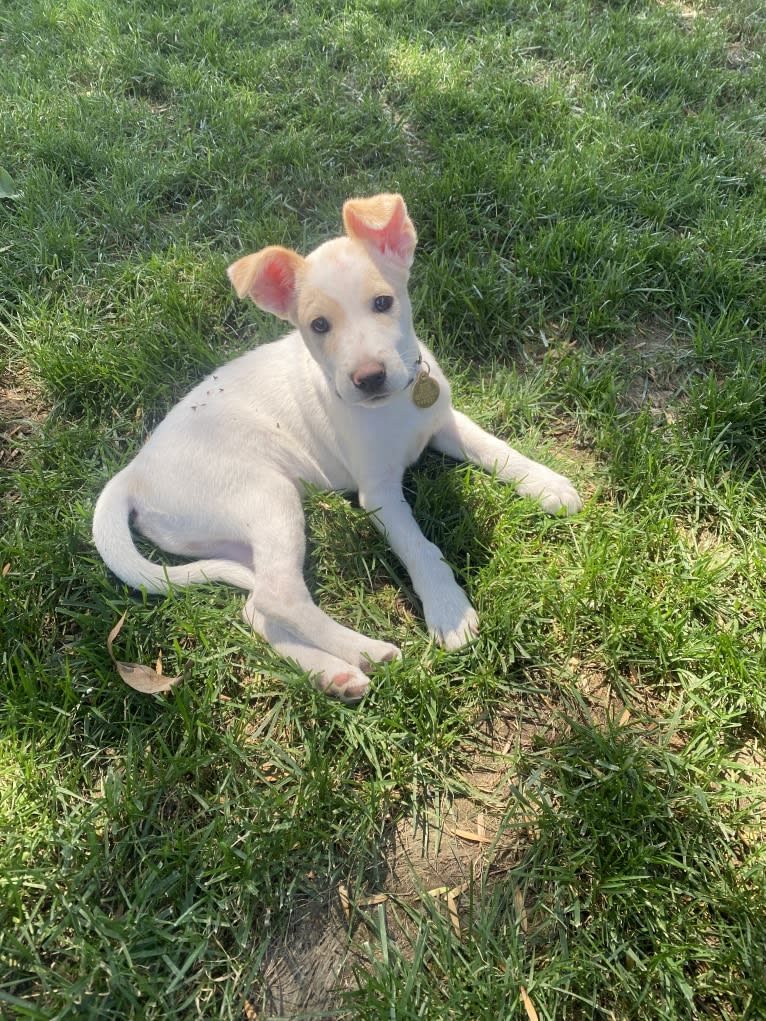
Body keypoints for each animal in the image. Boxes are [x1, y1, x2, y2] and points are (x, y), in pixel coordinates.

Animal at [91, 191, 580, 702]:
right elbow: (419, 547)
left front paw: (547, 484)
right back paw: (366, 651)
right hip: (267, 495)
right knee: (281, 596)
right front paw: (448, 609)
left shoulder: (441, 421)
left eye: (383, 302)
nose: (369, 377)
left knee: (259, 608)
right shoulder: (379, 494)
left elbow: (495, 448)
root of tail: (132, 474)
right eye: (319, 325)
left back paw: (334, 674)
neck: (395, 407)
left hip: (237, 534)